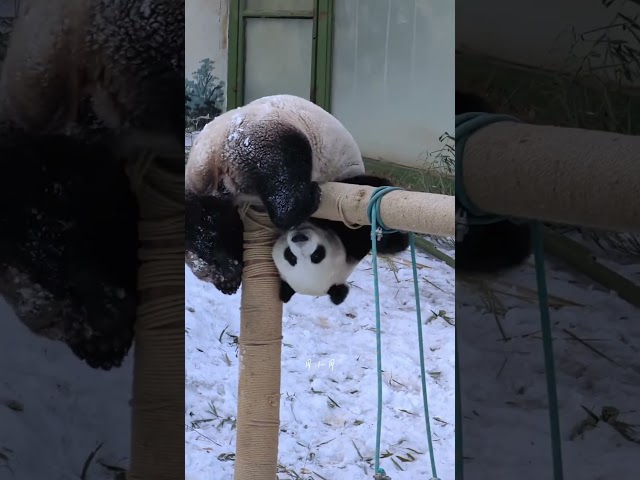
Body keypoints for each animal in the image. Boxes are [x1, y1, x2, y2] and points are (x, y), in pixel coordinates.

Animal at [185, 94, 370, 294]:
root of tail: (211, 158)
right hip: (264, 138)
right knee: (284, 172)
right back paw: (308, 198)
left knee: (204, 223)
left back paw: (225, 266)